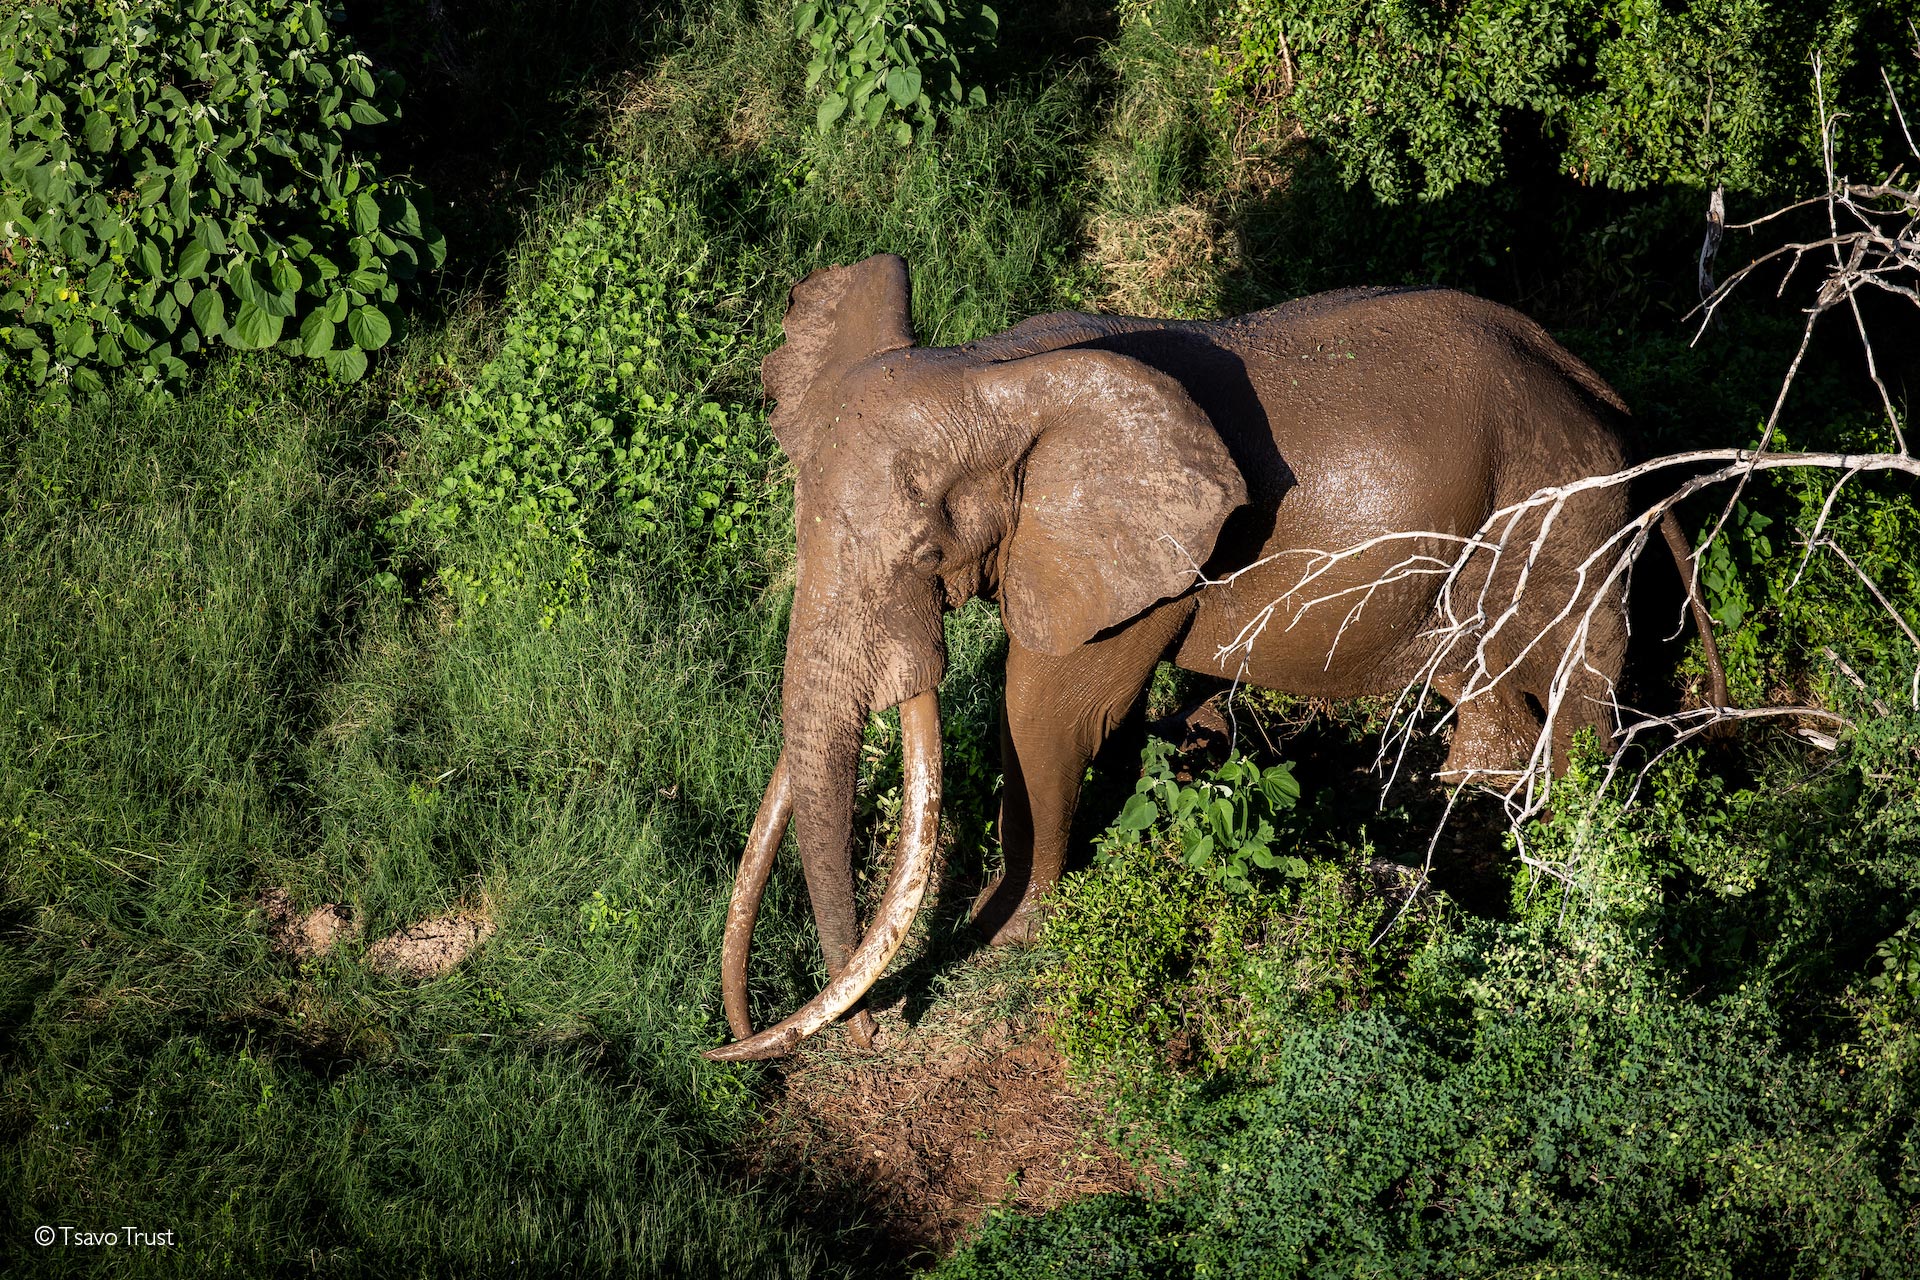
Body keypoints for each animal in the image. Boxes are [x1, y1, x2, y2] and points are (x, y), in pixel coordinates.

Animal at [706, 249, 1728, 1059]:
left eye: (924, 554)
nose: (875, 1030)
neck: (989, 370)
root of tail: (1609, 400)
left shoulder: (1143, 560)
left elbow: (1047, 715)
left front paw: (1008, 936)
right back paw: (1469, 793)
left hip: (1561, 517)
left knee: (1575, 691)